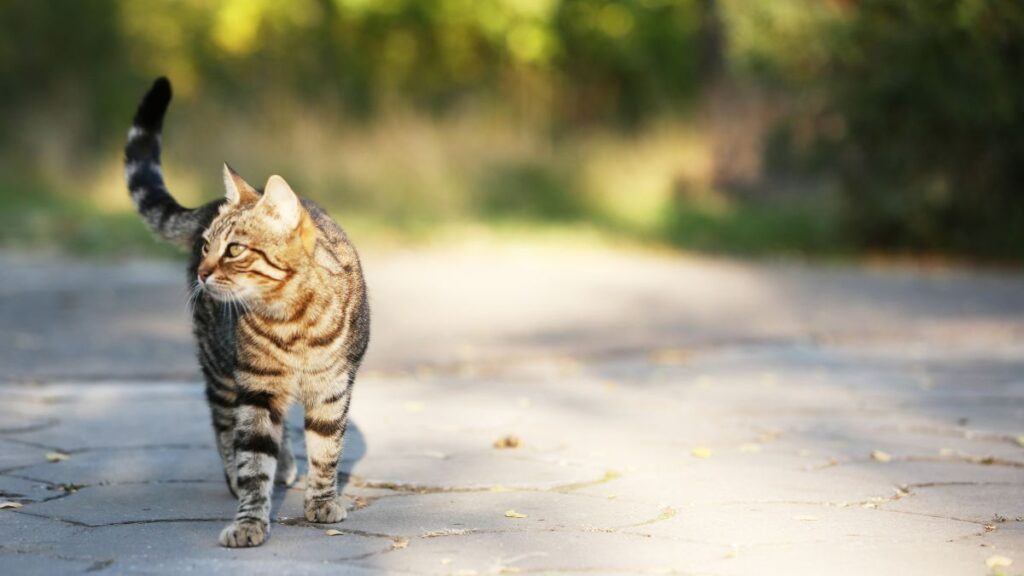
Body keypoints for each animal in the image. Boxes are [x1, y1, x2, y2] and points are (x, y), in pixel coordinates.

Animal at [123, 78, 370, 545]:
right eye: (206, 246)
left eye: (234, 250)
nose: (202, 272)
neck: (293, 321)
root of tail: (207, 201)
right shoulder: (254, 387)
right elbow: (253, 455)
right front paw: (250, 520)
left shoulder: (332, 387)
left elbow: (326, 449)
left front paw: (322, 501)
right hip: (221, 369)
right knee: (224, 425)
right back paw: (241, 474)